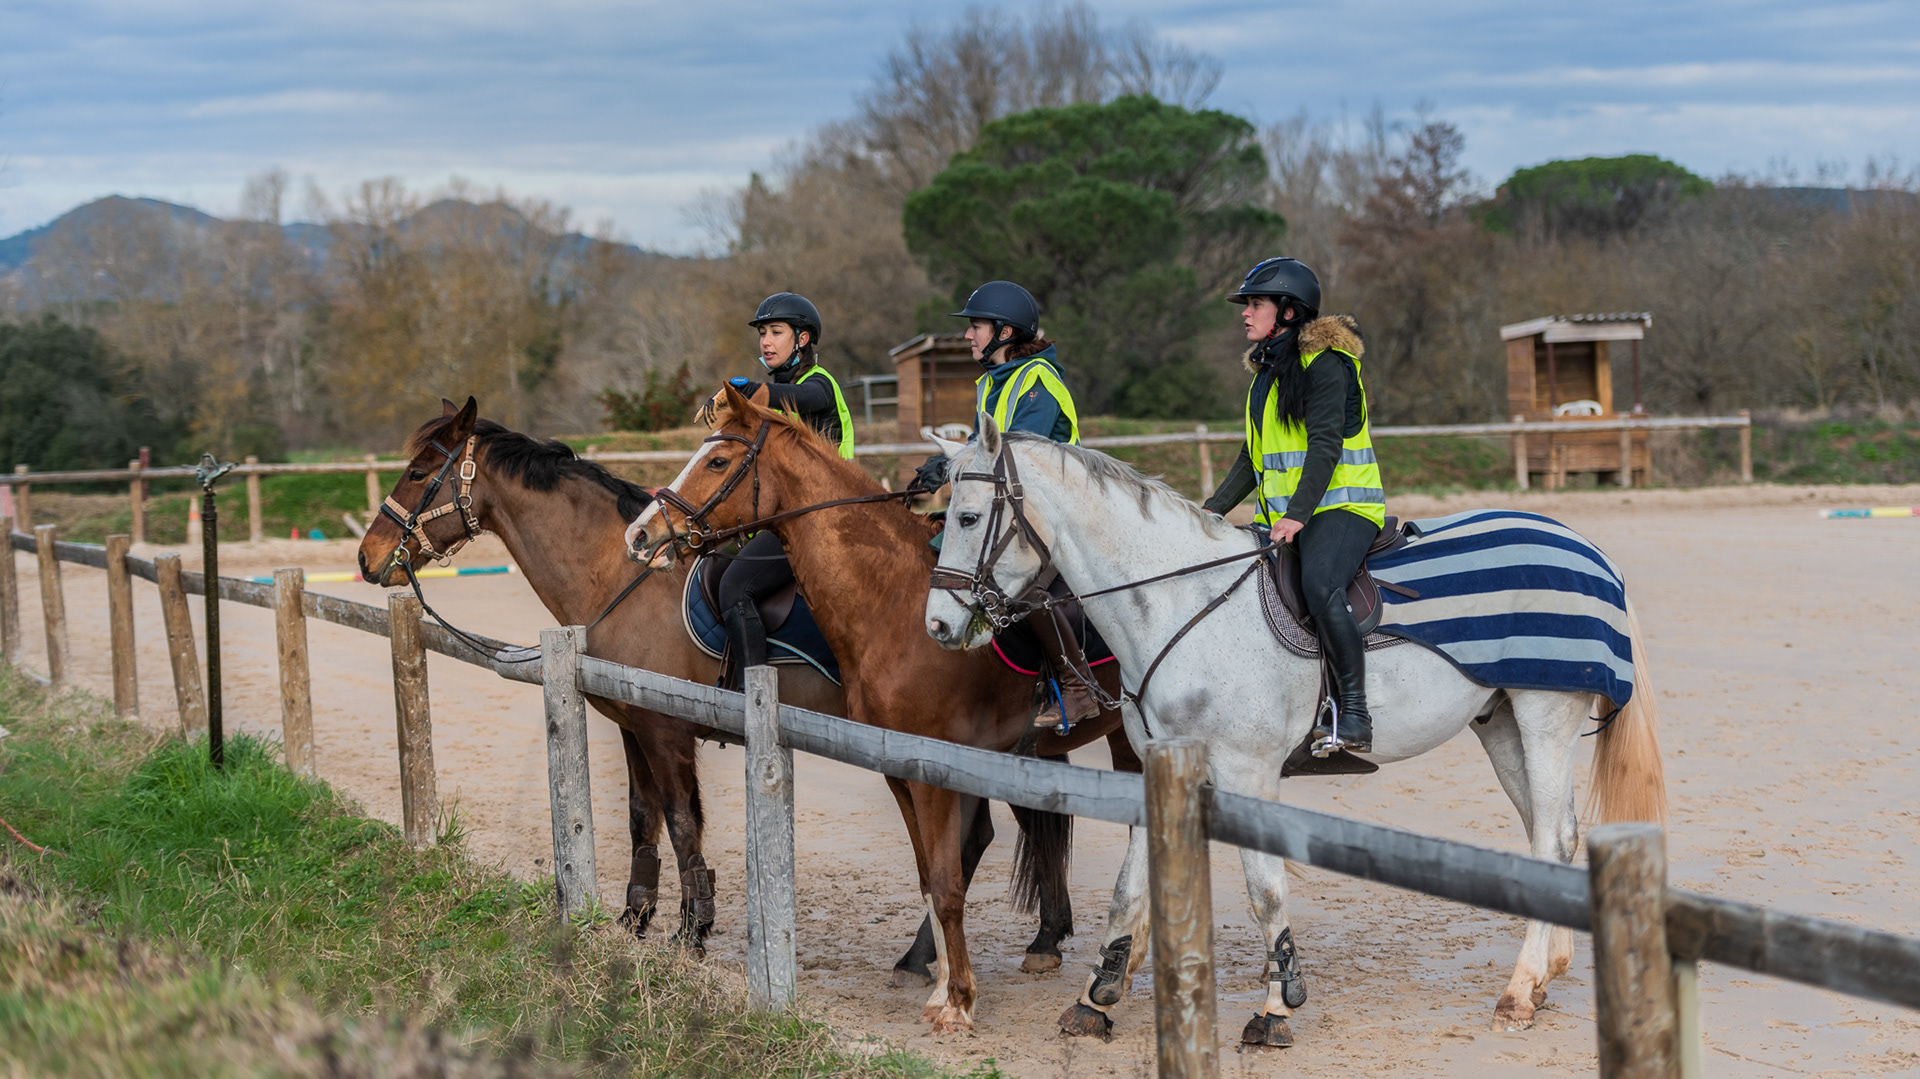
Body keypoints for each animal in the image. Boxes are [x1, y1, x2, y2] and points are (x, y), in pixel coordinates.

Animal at [357, 397, 1079, 979]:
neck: (620, 576)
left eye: (419, 473)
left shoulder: (666, 731)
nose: (368, 555)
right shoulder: (633, 723)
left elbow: (682, 824)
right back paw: (1040, 938)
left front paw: (692, 928)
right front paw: (635, 919)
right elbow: (642, 818)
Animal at [625, 383, 1141, 1033]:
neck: (894, 603)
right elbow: (929, 877)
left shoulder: (937, 768)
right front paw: (943, 984)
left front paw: (959, 999)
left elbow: (947, 879)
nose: (640, 535)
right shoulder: (900, 769)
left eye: (717, 461)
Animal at [923, 419, 1667, 1046]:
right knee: (1554, 835)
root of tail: (1584, 547)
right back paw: (1544, 975)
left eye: (966, 517)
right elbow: (1129, 888)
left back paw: (1517, 991)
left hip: (1544, 717)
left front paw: (1279, 1004)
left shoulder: (1246, 771)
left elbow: (1265, 890)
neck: (1181, 602)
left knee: (1550, 836)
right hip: (1503, 724)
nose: (937, 624)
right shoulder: (1155, 766)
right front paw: (1096, 997)